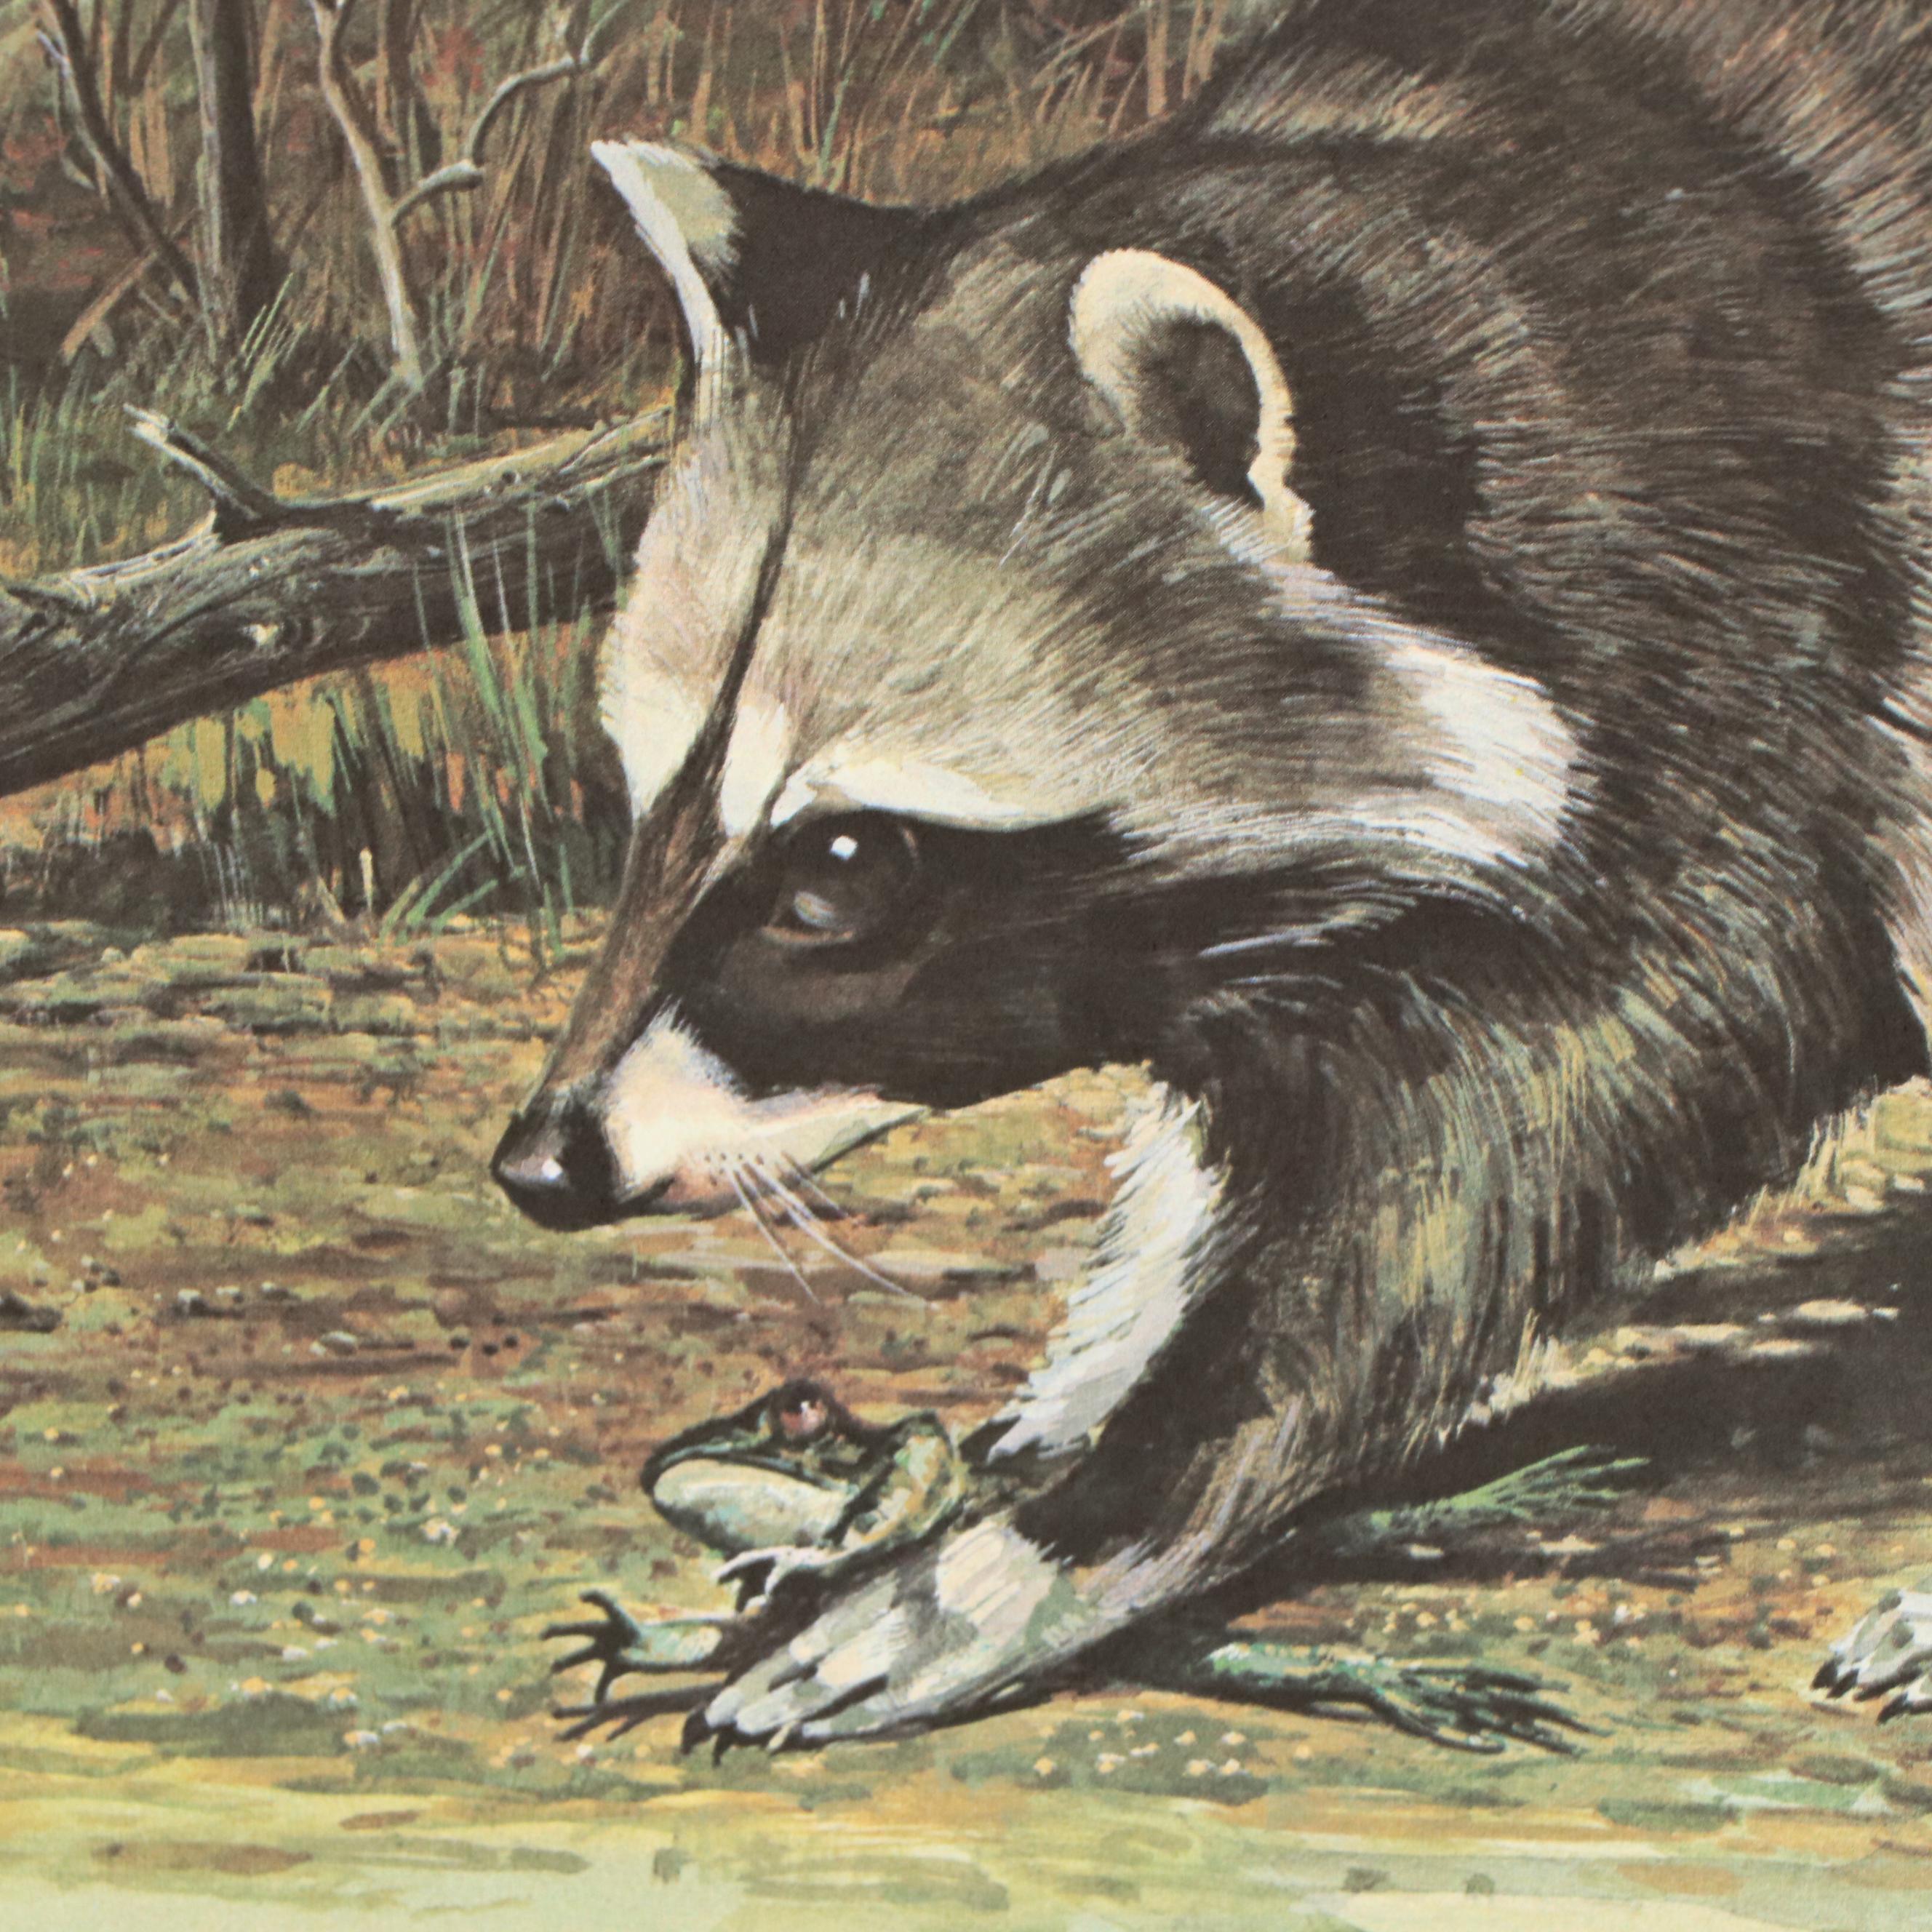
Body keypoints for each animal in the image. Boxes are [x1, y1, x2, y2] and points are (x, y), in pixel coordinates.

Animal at [494, 0, 1932, 1745]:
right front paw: (1065, 1406)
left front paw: (1056, 1534)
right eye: (645, 796)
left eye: (839, 863)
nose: (542, 1166)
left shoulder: (1773, 673)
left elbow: (1485, 1171)